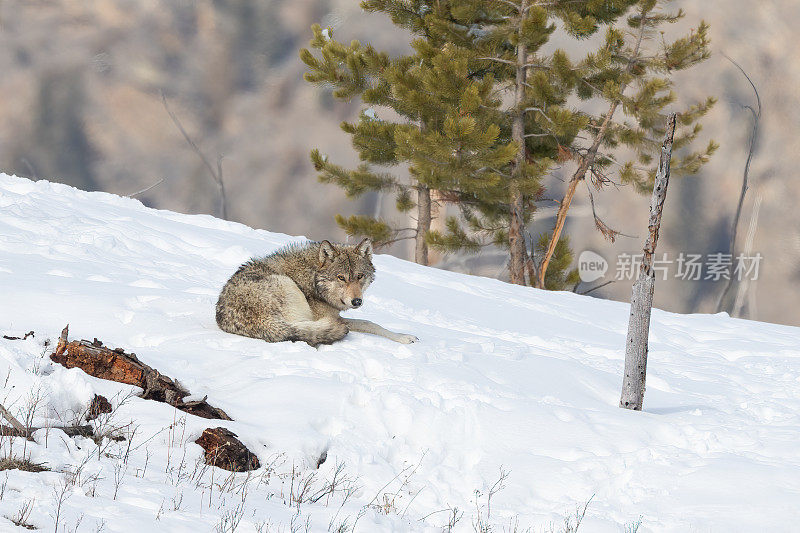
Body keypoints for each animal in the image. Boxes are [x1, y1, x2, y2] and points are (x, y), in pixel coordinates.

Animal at [216, 237, 422, 344]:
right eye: (341, 277)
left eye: (359, 276)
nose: (357, 301)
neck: (313, 276)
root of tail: (262, 322)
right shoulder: (329, 316)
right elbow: (370, 323)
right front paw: (403, 337)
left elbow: (371, 323)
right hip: (287, 285)